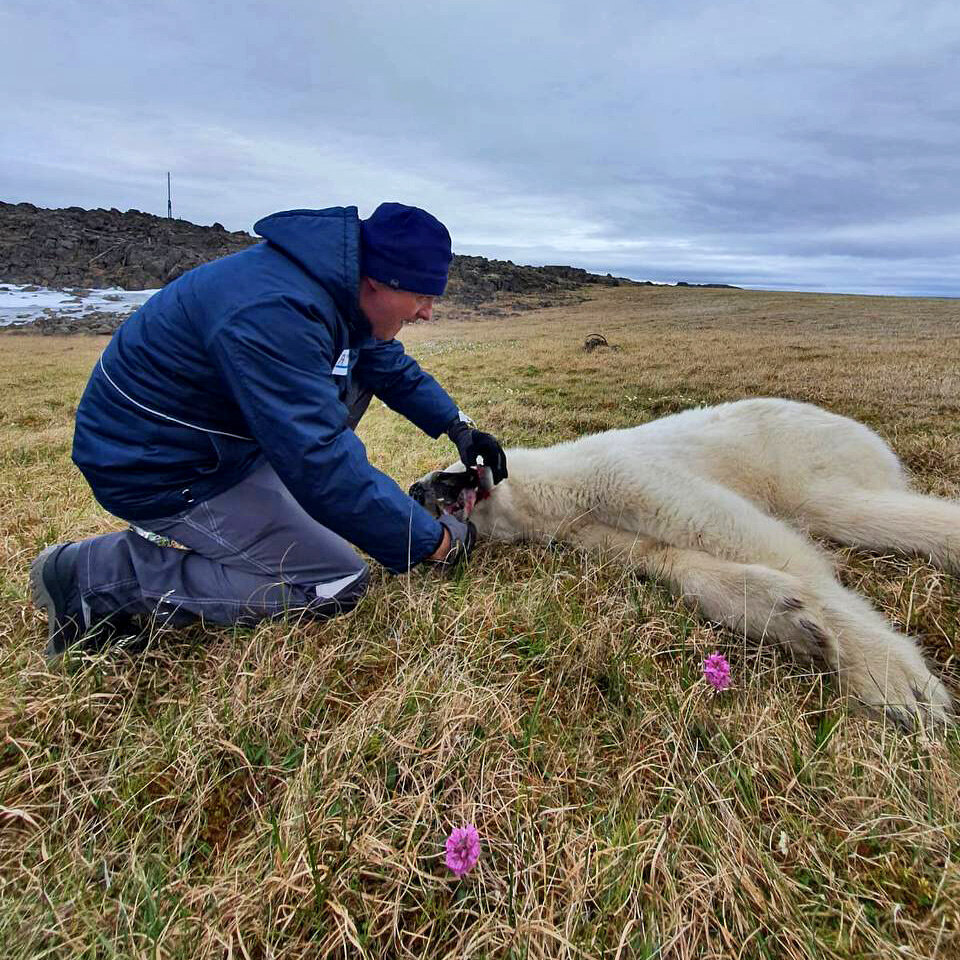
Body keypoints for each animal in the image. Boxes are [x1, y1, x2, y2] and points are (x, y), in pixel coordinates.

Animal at [408, 398, 956, 728]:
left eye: (447, 470)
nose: (415, 487)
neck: (556, 490)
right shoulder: (592, 530)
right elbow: (669, 559)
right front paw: (787, 616)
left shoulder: (621, 475)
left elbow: (732, 531)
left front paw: (893, 679)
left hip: (805, 455)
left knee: (844, 506)